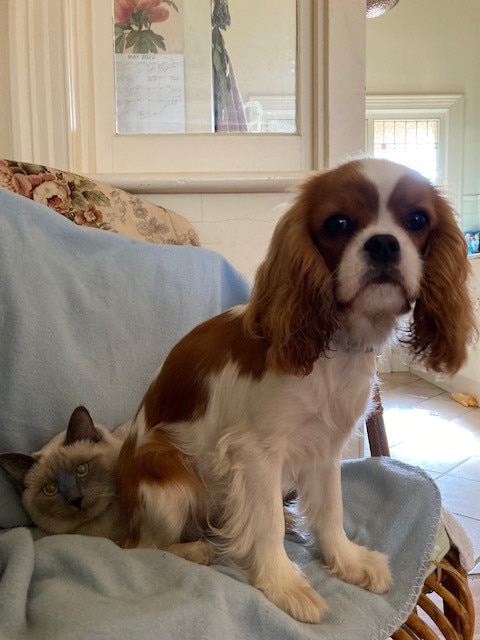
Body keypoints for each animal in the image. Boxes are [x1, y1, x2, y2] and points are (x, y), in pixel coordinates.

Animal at [114, 158, 474, 624]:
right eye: (337, 223)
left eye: (417, 220)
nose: (383, 244)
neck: (337, 347)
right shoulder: (256, 452)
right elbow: (265, 524)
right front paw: (283, 584)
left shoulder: (324, 447)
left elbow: (331, 510)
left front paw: (346, 561)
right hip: (167, 483)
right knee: (143, 546)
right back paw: (194, 550)